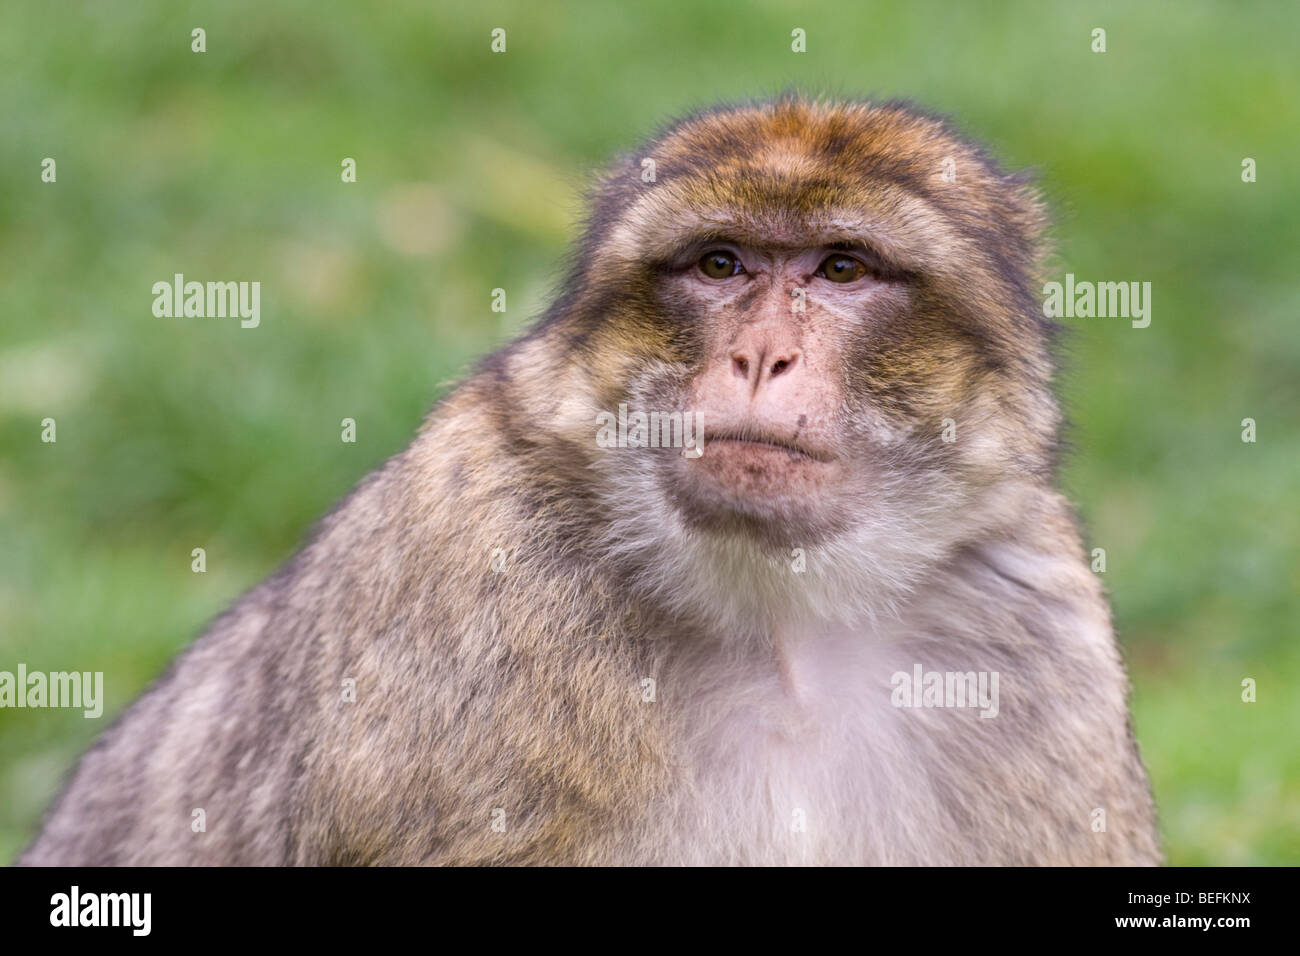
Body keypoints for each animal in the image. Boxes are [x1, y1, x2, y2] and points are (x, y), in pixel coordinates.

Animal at [17, 95, 1159, 868]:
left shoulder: (1034, 639)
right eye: (719, 264)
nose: (760, 357)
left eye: (842, 269)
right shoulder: (474, 587)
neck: (782, 620)